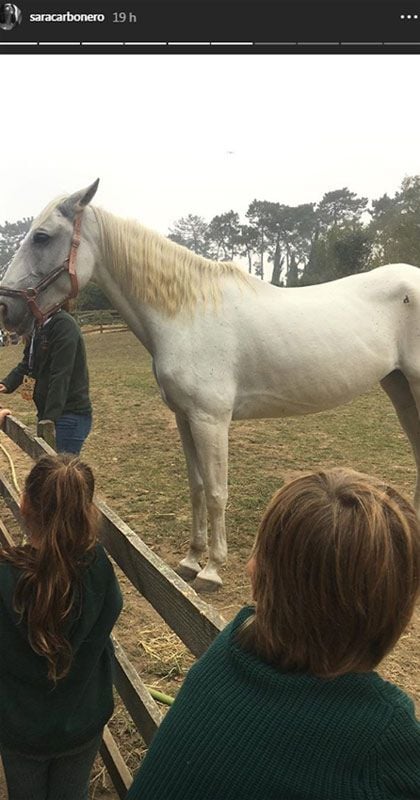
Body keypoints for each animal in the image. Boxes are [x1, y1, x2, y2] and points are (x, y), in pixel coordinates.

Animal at [0, 178, 420, 588]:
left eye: (41, 237)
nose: (6, 308)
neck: (188, 313)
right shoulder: (185, 418)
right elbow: (198, 488)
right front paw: (191, 559)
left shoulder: (211, 420)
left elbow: (218, 491)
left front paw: (213, 569)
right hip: (400, 390)